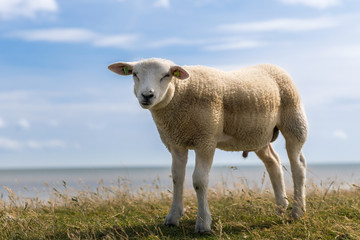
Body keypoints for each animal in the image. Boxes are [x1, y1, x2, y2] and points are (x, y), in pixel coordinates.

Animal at [107, 57, 306, 232]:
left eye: (166, 75)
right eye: (135, 74)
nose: (147, 95)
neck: (180, 94)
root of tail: (272, 66)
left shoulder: (206, 139)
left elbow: (199, 181)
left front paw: (203, 224)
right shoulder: (176, 143)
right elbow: (177, 178)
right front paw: (172, 218)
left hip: (294, 121)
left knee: (298, 165)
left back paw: (297, 211)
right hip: (257, 135)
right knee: (273, 162)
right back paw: (281, 206)